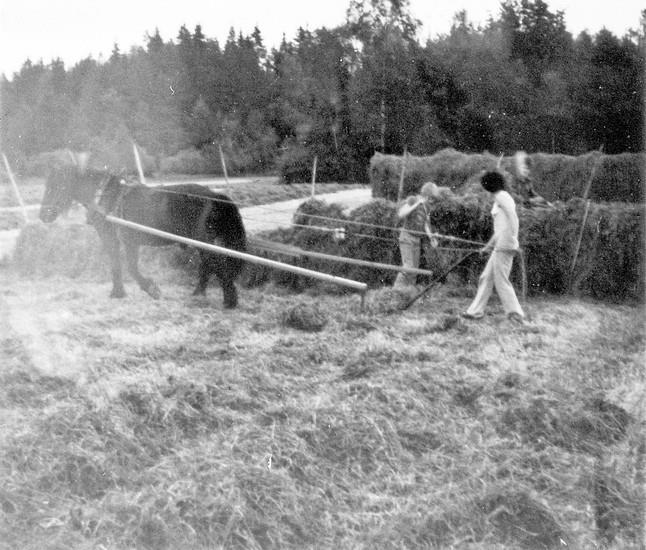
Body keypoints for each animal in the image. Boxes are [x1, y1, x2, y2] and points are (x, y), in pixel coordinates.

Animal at [39, 164, 248, 310]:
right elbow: (120, 265)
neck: (106, 197)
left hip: (203, 241)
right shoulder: (122, 241)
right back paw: (199, 293)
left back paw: (229, 300)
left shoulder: (119, 240)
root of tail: (214, 195)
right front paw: (119, 292)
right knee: (209, 265)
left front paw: (148, 289)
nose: (43, 215)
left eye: (55, 186)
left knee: (216, 264)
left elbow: (127, 267)